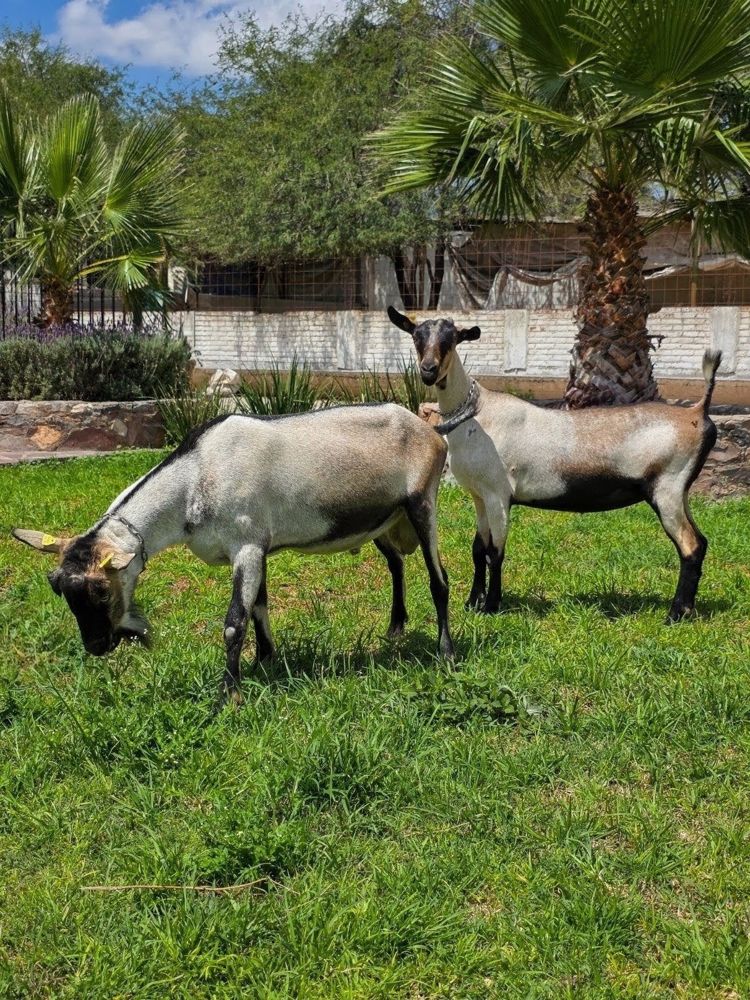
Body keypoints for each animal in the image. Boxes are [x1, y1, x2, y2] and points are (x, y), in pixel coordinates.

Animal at [12, 404, 455, 699]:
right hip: (384, 519)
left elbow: (234, 623)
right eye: (57, 585)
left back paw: (445, 653)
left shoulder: (246, 546)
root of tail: (431, 430)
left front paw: (230, 695)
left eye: (102, 590)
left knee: (440, 580)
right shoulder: (258, 549)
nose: (96, 646)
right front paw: (265, 661)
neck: (196, 477)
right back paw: (395, 628)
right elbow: (259, 607)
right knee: (396, 564)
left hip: (422, 503)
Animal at [388, 306, 721, 623]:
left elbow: (496, 552)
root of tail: (696, 412)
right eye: (416, 336)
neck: (477, 414)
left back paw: (675, 614)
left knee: (689, 546)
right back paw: (687, 610)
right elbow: (478, 549)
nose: (428, 370)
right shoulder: (479, 496)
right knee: (702, 542)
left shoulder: (498, 494)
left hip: (667, 488)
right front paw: (472, 603)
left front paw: (492, 606)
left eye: (452, 338)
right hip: (680, 492)